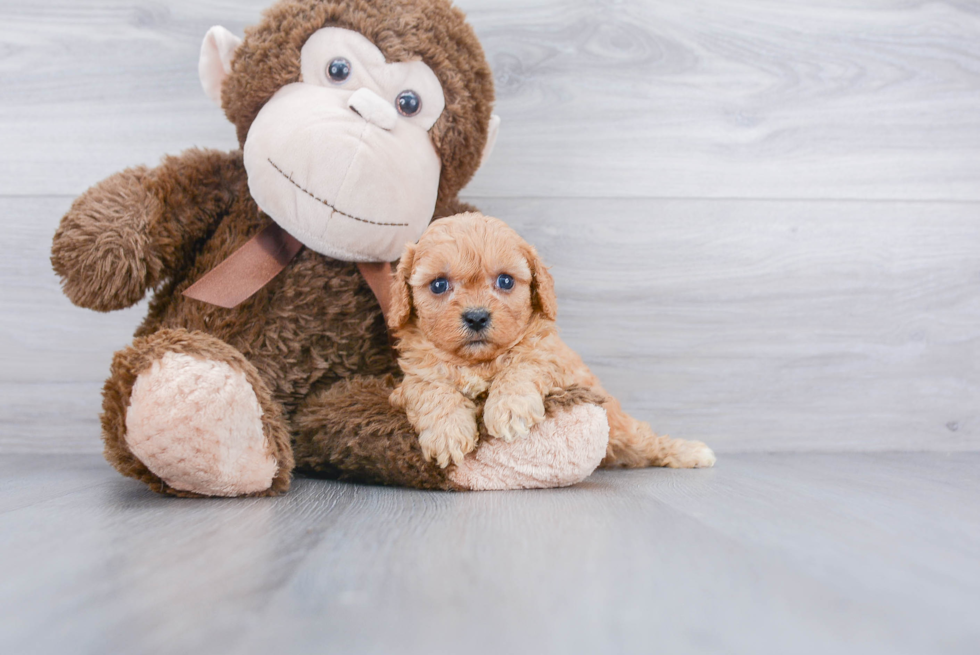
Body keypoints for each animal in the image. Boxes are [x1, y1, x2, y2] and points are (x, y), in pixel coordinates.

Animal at [386, 214, 716, 472]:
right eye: (439, 285)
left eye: (505, 281)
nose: (477, 317)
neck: (478, 362)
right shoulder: (413, 378)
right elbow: (431, 390)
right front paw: (447, 432)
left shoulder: (548, 358)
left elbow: (521, 368)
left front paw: (509, 409)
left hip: (620, 426)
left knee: (646, 441)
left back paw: (688, 452)